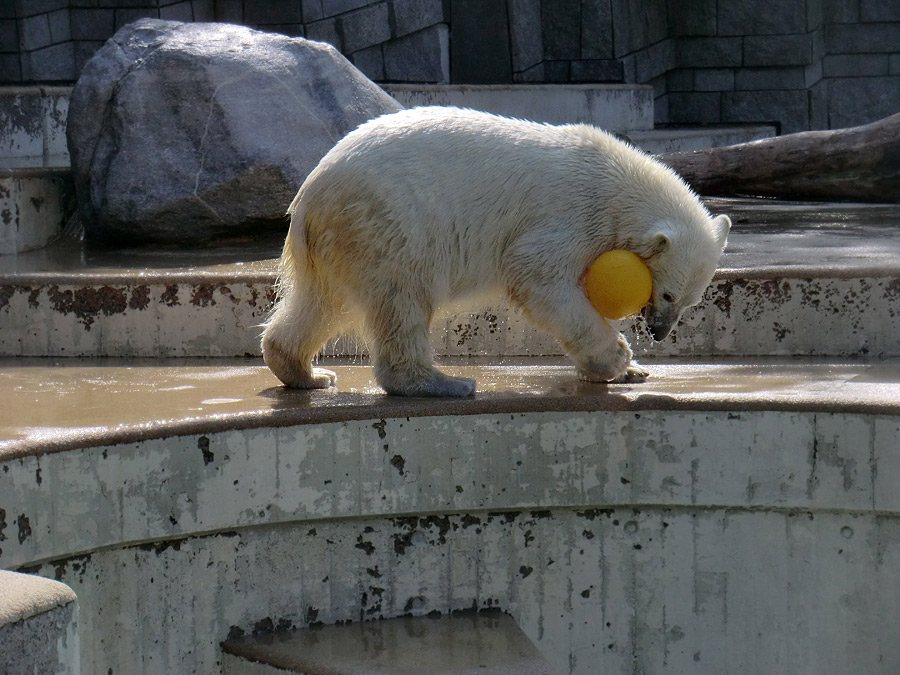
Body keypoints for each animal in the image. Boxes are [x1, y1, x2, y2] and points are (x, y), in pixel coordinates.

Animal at [260, 107, 732, 396]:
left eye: (690, 302)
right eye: (667, 294)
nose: (659, 332)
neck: (614, 180)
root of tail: (310, 195)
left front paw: (631, 370)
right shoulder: (569, 213)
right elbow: (536, 276)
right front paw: (619, 358)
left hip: (342, 241)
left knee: (323, 303)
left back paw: (308, 373)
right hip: (390, 222)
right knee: (402, 297)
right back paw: (443, 383)